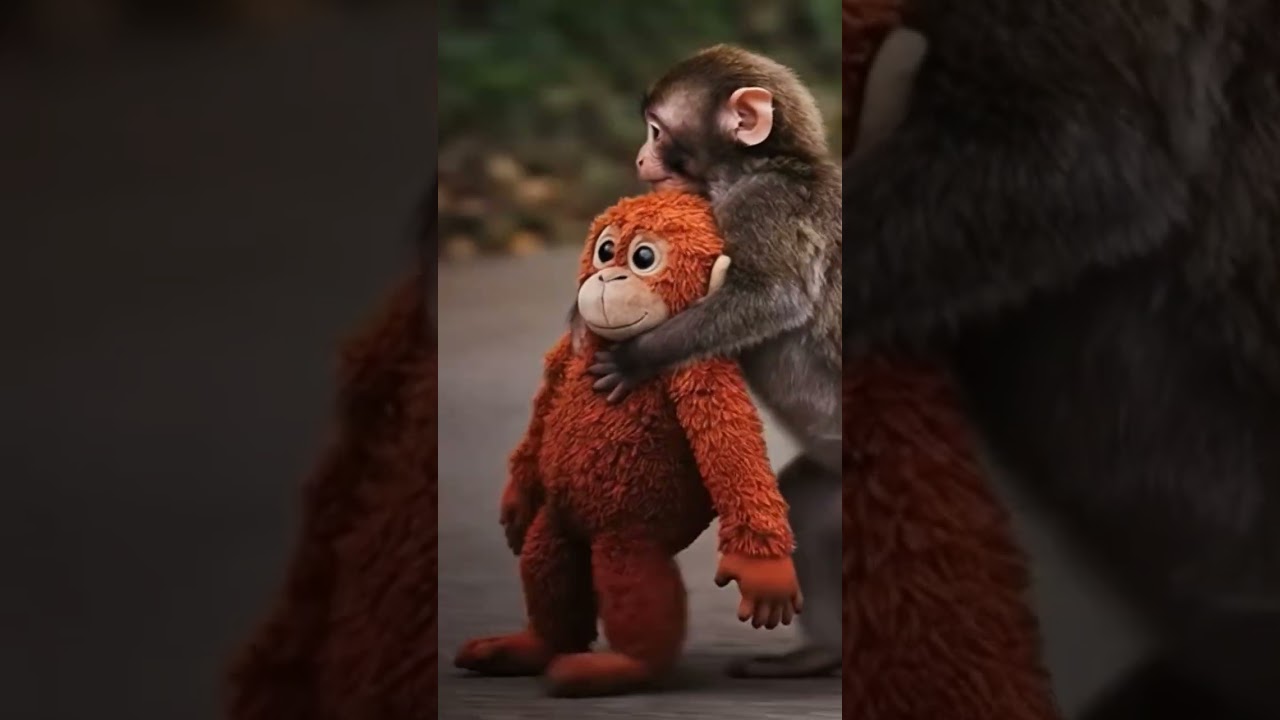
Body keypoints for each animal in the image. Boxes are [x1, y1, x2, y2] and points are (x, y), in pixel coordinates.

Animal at [583, 44, 843, 679]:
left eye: (656, 130)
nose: (639, 155)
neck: (754, 169)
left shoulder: (764, 207)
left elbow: (771, 296)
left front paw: (636, 359)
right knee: (808, 504)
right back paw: (818, 655)